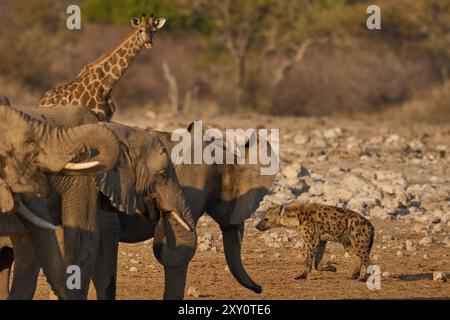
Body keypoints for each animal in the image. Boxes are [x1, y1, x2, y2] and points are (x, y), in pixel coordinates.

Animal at [37, 14, 166, 120]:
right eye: (140, 30)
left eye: (154, 31)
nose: (149, 43)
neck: (106, 86)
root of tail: (41, 102)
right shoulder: (95, 115)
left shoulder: (107, 117)